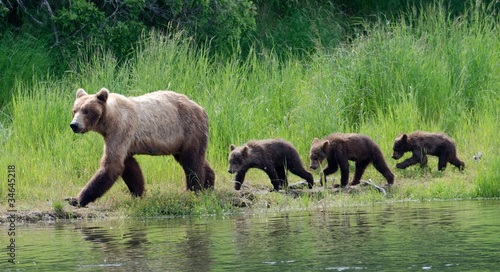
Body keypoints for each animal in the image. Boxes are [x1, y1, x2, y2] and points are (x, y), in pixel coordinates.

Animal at [67, 88, 215, 207]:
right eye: (74, 110)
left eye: (86, 110)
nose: (74, 125)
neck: (108, 121)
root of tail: (201, 108)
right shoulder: (120, 139)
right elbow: (129, 166)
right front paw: (138, 192)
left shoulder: (121, 129)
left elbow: (111, 164)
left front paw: (75, 199)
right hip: (180, 140)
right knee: (194, 159)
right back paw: (209, 184)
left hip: (189, 128)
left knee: (191, 161)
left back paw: (192, 190)